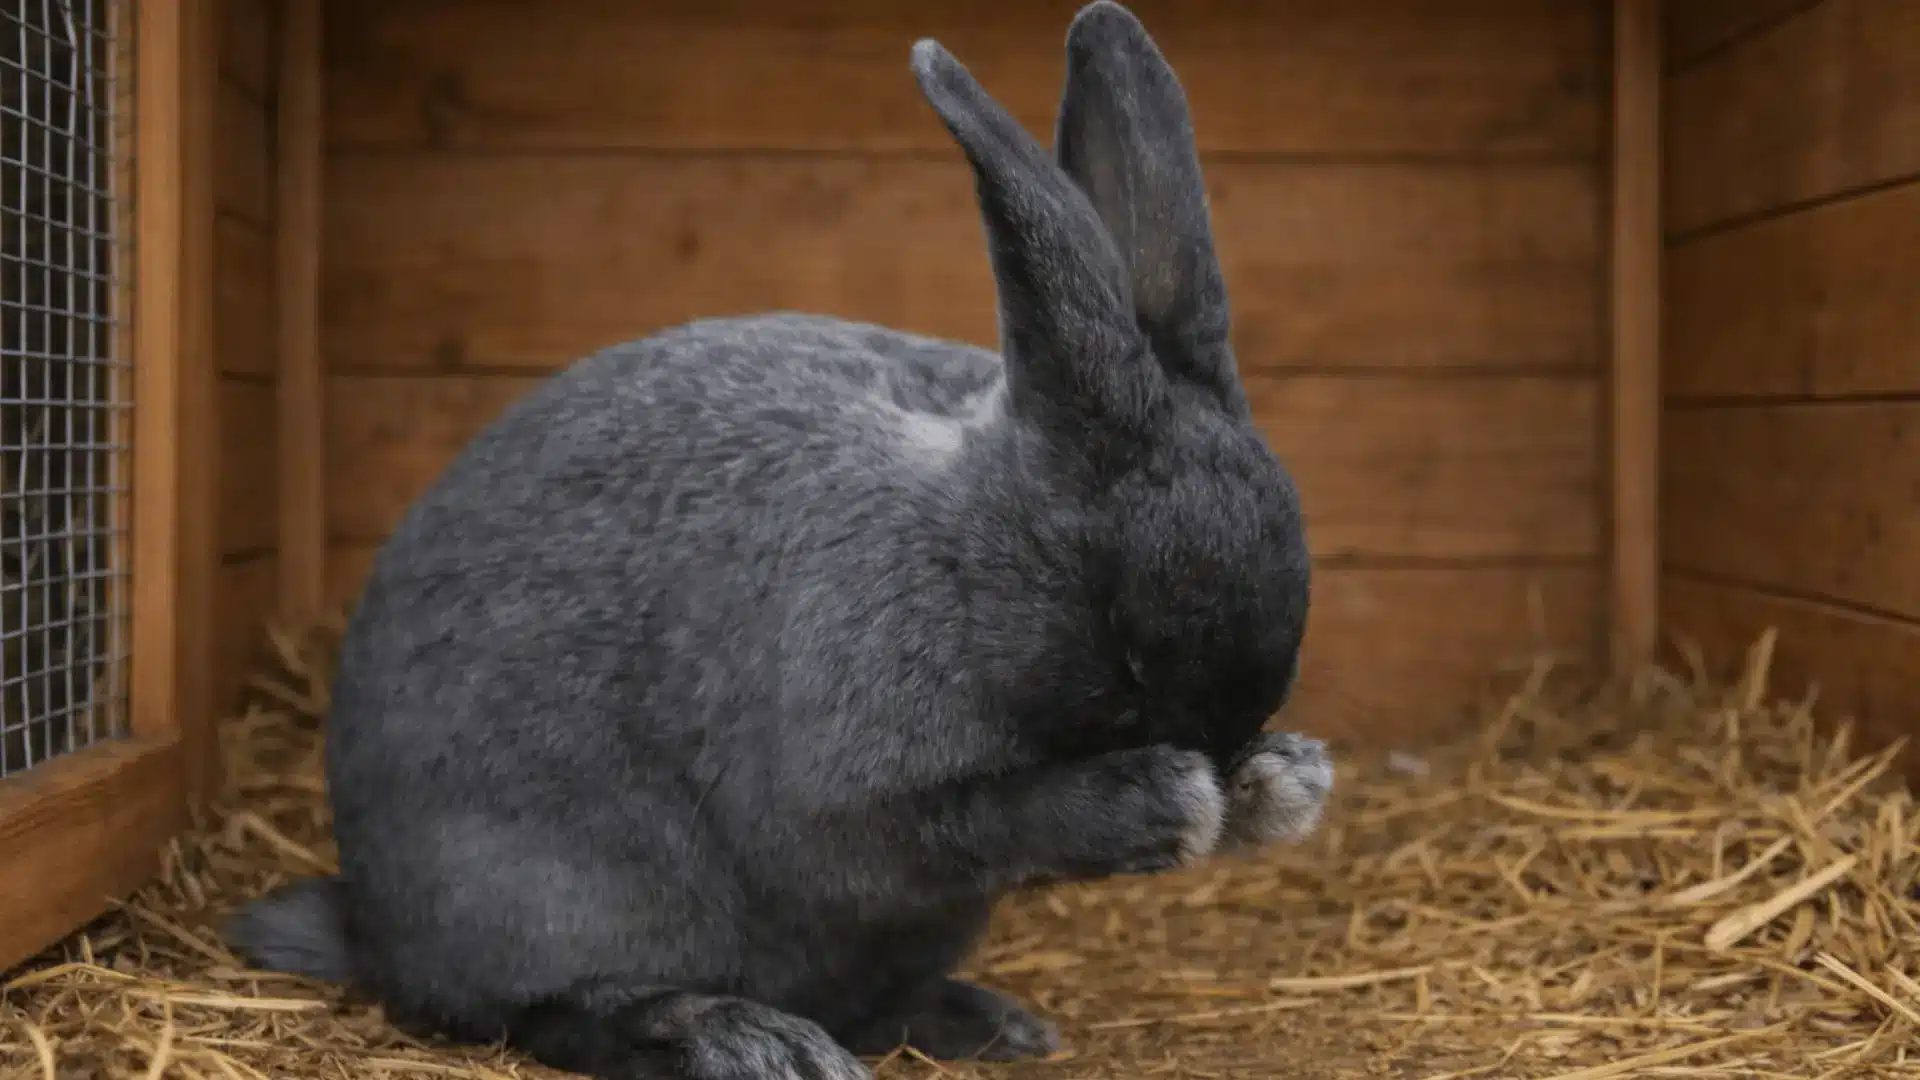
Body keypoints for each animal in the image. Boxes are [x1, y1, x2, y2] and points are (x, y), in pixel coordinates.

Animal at [223, 3, 1332, 1079]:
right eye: (1126, 643)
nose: (1227, 749)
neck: (968, 551)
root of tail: (375, 931)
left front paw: (1287, 785)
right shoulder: (850, 798)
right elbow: (973, 823)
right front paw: (1174, 801)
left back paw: (986, 1023)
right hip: (551, 902)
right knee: (553, 1014)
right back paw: (746, 1042)